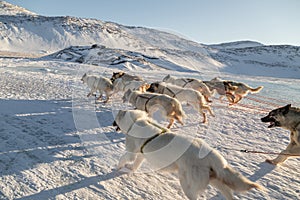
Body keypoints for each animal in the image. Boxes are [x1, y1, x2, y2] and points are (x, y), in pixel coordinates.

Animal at [113, 109, 264, 200]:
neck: (135, 122)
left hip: (187, 182)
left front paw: (117, 168)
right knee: (228, 192)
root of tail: (211, 154)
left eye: (115, 119)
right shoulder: (140, 154)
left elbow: (123, 158)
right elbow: (135, 164)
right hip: (213, 179)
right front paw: (130, 169)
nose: (113, 123)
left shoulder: (131, 151)